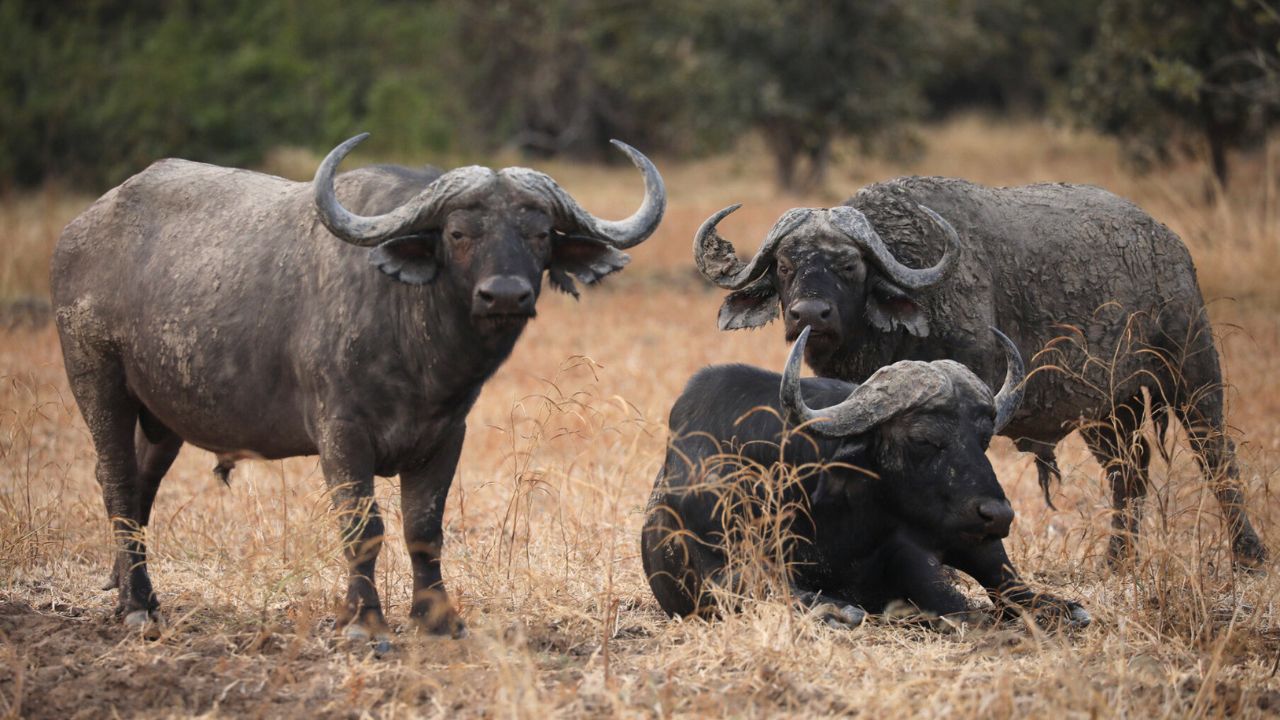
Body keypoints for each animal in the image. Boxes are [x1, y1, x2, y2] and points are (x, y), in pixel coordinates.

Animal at [52, 134, 665, 646]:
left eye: (539, 235)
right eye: (458, 234)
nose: (506, 295)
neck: (417, 349)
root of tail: (79, 232)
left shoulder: (446, 435)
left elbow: (425, 527)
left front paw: (438, 619)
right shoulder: (341, 435)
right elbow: (363, 527)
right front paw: (364, 622)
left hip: (164, 419)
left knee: (141, 490)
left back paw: (133, 592)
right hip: (97, 381)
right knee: (116, 482)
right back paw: (137, 607)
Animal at [642, 326, 1090, 628]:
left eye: (983, 439)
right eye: (924, 439)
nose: (998, 515)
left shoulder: (912, 551)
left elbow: (952, 597)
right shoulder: (719, 568)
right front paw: (834, 610)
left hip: (977, 544)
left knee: (1010, 586)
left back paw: (1066, 608)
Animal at [693, 177, 1265, 569]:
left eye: (850, 266)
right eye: (785, 266)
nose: (809, 314)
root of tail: (1170, 245)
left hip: (1193, 369)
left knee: (1216, 454)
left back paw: (1248, 553)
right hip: (1105, 411)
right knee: (1132, 468)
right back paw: (1117, 558)